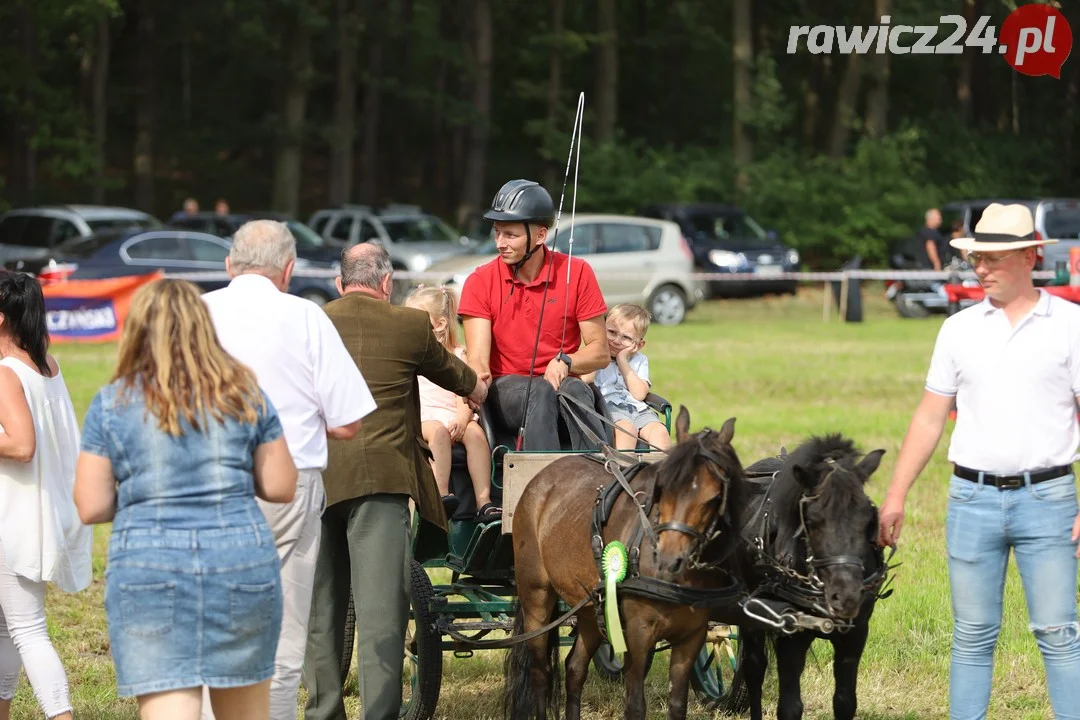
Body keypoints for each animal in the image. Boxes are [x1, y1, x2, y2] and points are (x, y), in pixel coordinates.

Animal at [501, 408, 747, 720]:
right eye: (662, 487)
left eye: (714, 497)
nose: (669, 559)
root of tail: (542, 477)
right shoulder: (638, 634)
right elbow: (635, 704)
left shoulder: (692, 636)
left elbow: (678, 704)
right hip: (536, 595)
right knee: (540, 672)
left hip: (590, 607)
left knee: (574, 669)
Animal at [734, 433, 894, 720]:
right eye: (813, 520)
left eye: (869, 518)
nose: (847, 596)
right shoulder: (790, 633)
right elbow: (789, 707)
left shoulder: (855, 633)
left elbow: (845, 702)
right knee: (754, 669)